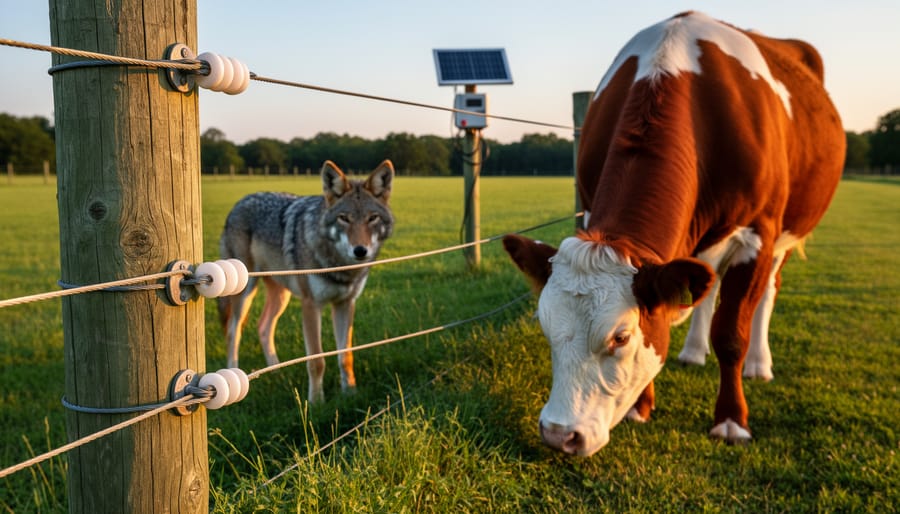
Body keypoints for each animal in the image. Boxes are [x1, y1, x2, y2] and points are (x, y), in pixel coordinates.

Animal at [503, 11, 845, 457]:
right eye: (545, 325)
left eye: (620, 337)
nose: (559, 435)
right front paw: (641, 406)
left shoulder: (758, 234)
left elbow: (730, 333)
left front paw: (731, 421)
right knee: (707, 289)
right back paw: (694, 352)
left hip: (785, 234)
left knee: (768, 290)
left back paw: (758, 364)